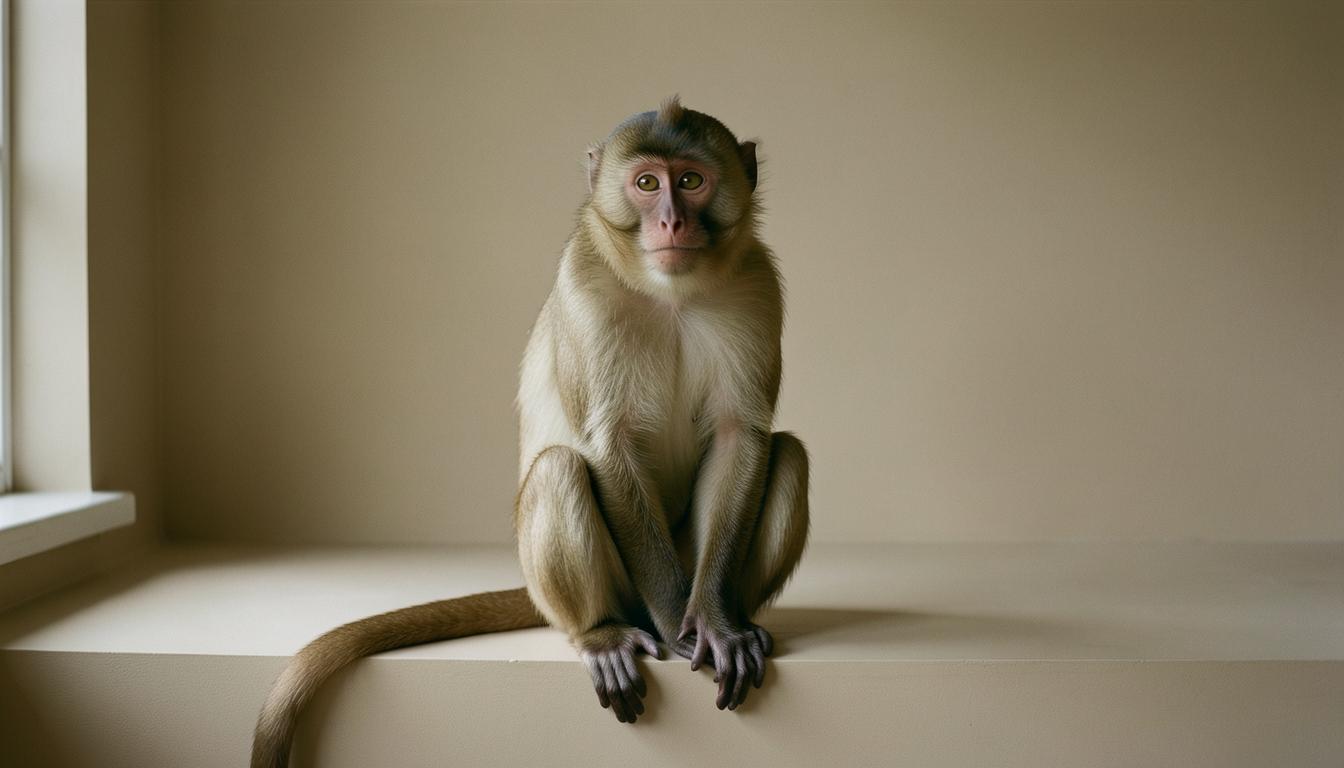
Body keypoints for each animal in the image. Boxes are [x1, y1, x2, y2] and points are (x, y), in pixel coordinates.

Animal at [251, 97, 809, 768]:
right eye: (648, 184)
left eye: (692, 180)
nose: (672, 222)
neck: (670, 294)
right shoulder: (585, 285)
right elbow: (607, 445)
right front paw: (681, 625)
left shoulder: (756, 287)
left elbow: (738, 436)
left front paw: (717, 626)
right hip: (609, 592)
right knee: (559, 469)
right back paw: (602, 635)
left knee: (787, 454)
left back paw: (738, 619)